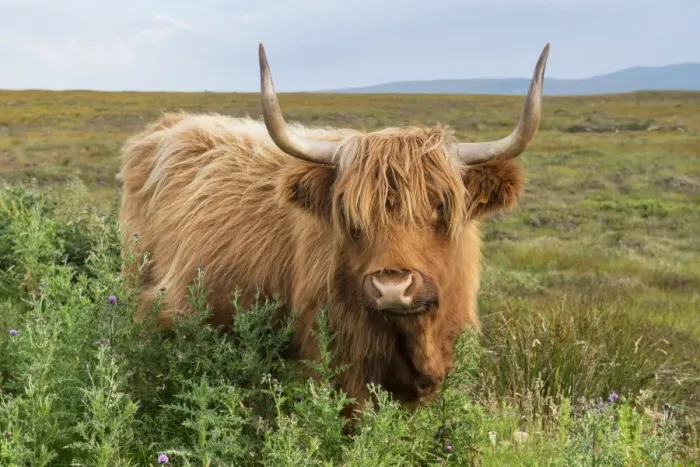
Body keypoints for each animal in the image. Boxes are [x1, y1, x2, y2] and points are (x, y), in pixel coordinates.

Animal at [117, 42, 550, 414]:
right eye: (351, 215)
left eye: (441, 206)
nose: (392, 287)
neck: (413, 336)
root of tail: (165, 127)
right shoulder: (342, 365)